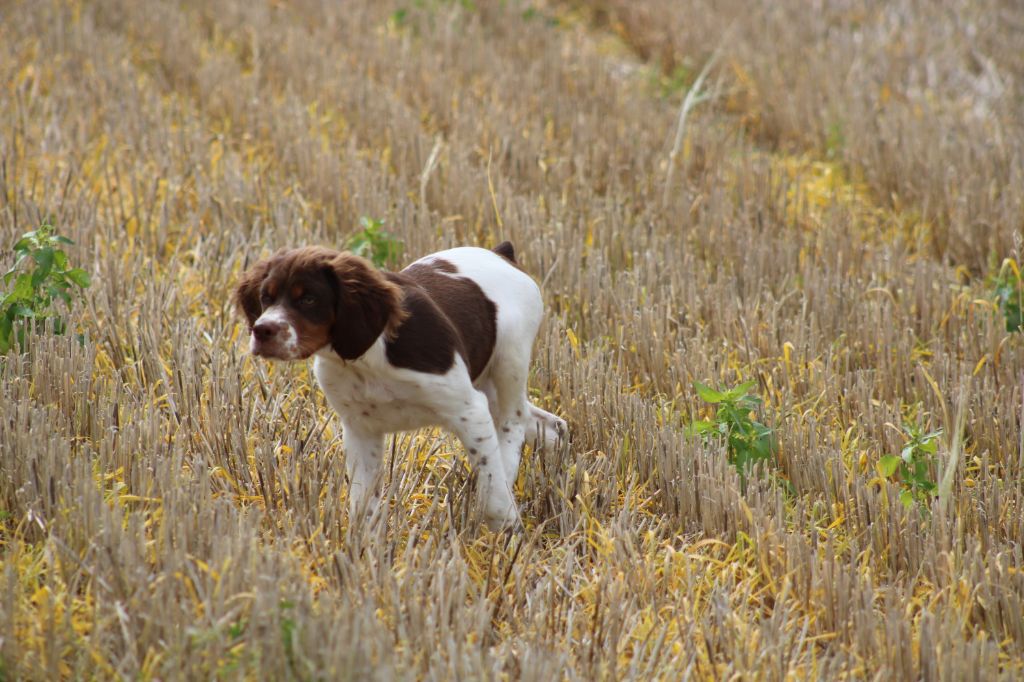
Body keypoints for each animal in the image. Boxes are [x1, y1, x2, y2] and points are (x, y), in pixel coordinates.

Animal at [234, 240, 569, 524]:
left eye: (308, 299)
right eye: (265, 297)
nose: (262, 331)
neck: (368, 357)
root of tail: (501, 253)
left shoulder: (469, 410)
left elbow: (493, 493)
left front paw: (505, 530)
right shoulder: (360, 428)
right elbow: (363, 505)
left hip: (510, 358)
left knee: (512, 424)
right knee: (548, 424)